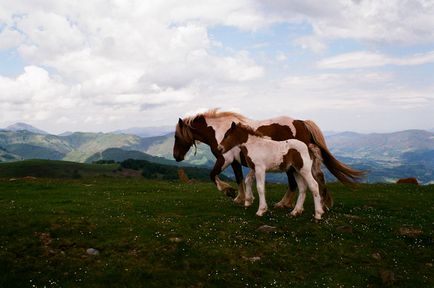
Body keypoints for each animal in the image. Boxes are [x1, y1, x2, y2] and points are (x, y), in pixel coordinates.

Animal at [172, 109, 362, 208]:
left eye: (176, 136)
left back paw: (285, 203)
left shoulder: (224, 159)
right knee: (317, 177)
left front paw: (228, 191)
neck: (219, 131)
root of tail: (301, 122)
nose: (176, 156)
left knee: (296, 183)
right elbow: (239, 178)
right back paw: (321, 203)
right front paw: (241, 198)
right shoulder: (235, 162)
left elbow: (213, 175)